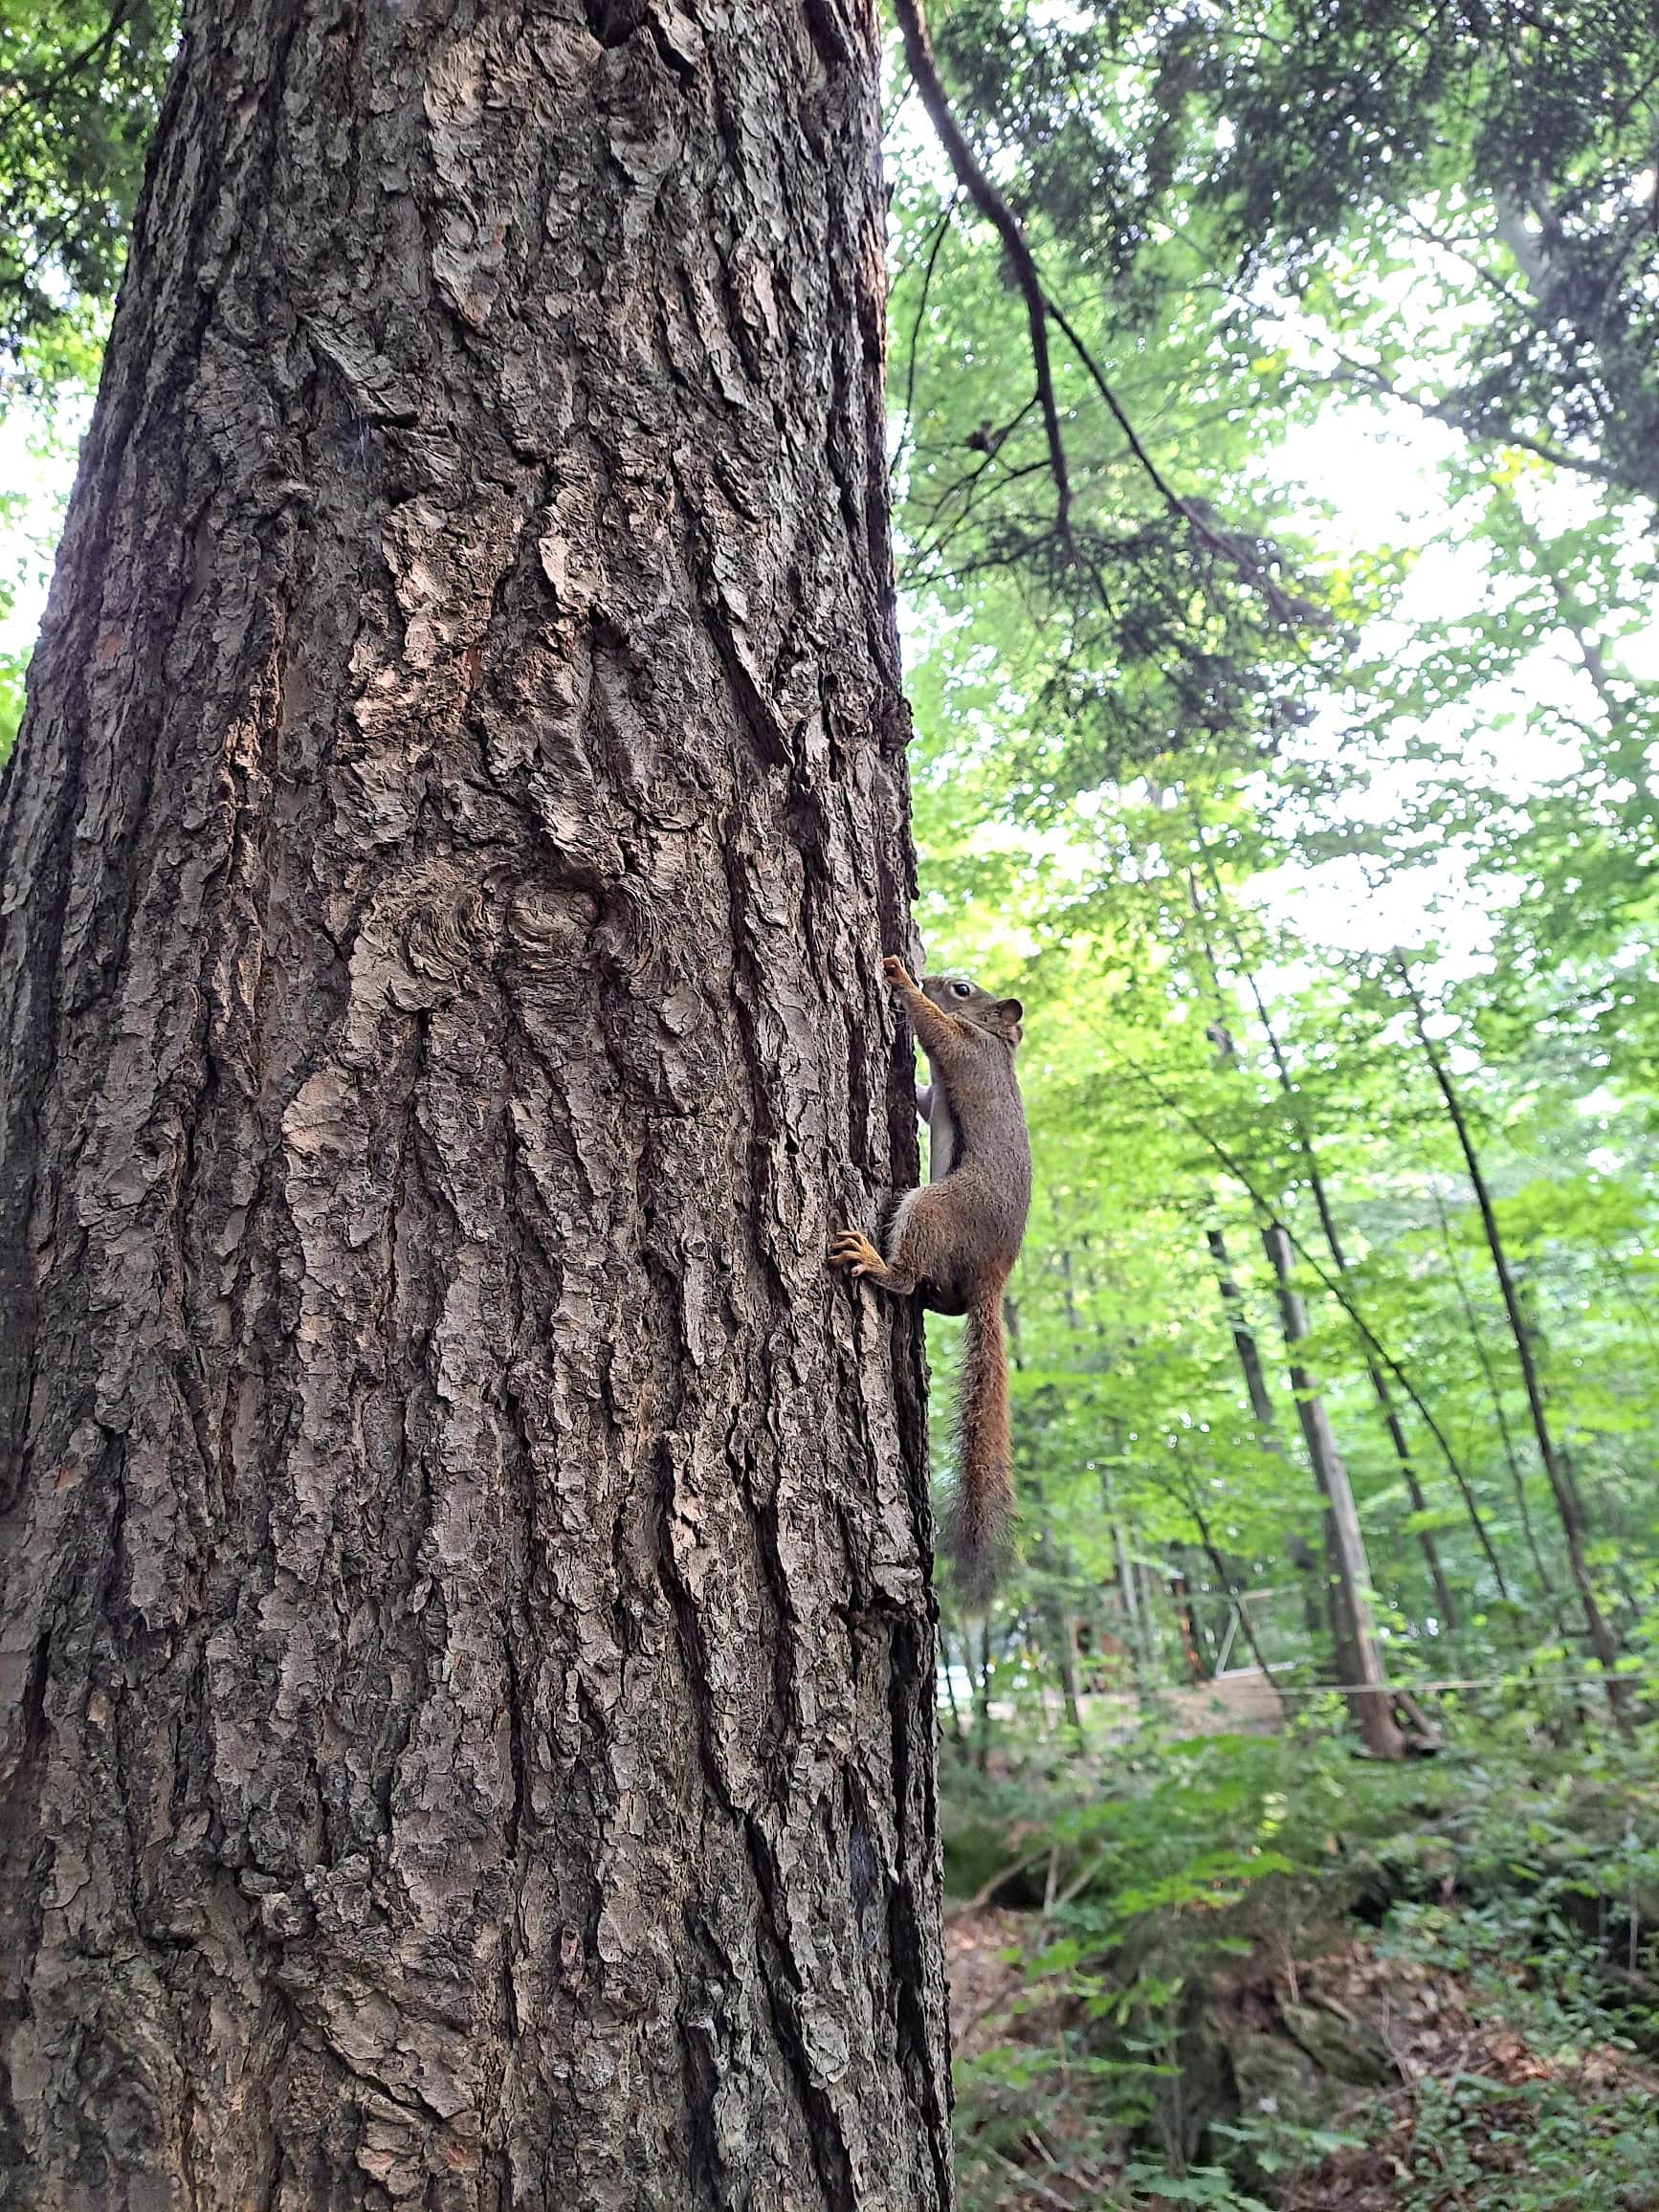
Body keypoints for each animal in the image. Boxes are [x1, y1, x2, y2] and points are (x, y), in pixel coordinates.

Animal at [831, 954, 1031, 1608]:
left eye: (963, 989)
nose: (934, 973)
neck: (998, 1041)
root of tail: (994, 1275)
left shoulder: (965, 1049)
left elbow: (936, 1031)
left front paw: (899, 978)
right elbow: (922, 1098)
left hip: (933, 1206)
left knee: (906, 1274)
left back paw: (879, 1266)